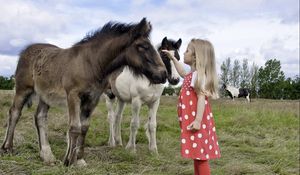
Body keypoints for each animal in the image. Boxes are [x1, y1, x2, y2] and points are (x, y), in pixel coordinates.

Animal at [0, 18, 166, 167]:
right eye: (142, 46)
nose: (163, 74)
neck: (91, 63)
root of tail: (25, 51)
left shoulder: (92, 99)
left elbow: (84, 127)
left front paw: (78, 159)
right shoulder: (73, 95)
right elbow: (75, 127)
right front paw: (69, 161)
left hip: (44, 95)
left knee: (40, 117)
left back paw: (47, 156)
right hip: (23, 89)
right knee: (14, 113)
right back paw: (7, 148)